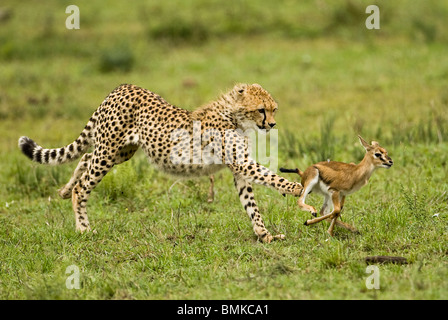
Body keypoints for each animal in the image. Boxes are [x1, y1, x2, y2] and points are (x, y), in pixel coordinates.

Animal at [19, 82, 302, 242]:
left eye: (274, 109)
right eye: (262, 110)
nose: (272, 124)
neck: (234, 116)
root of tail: (122, 87)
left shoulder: (239, 167)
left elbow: (251, 205)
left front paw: (264, 234)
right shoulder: (242, 162)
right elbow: (270, 177)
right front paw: (297, 188)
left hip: (120, 151)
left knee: (86, 157)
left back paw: (64, 190)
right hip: (109, 151)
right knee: (84, 185)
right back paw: (83, 227)